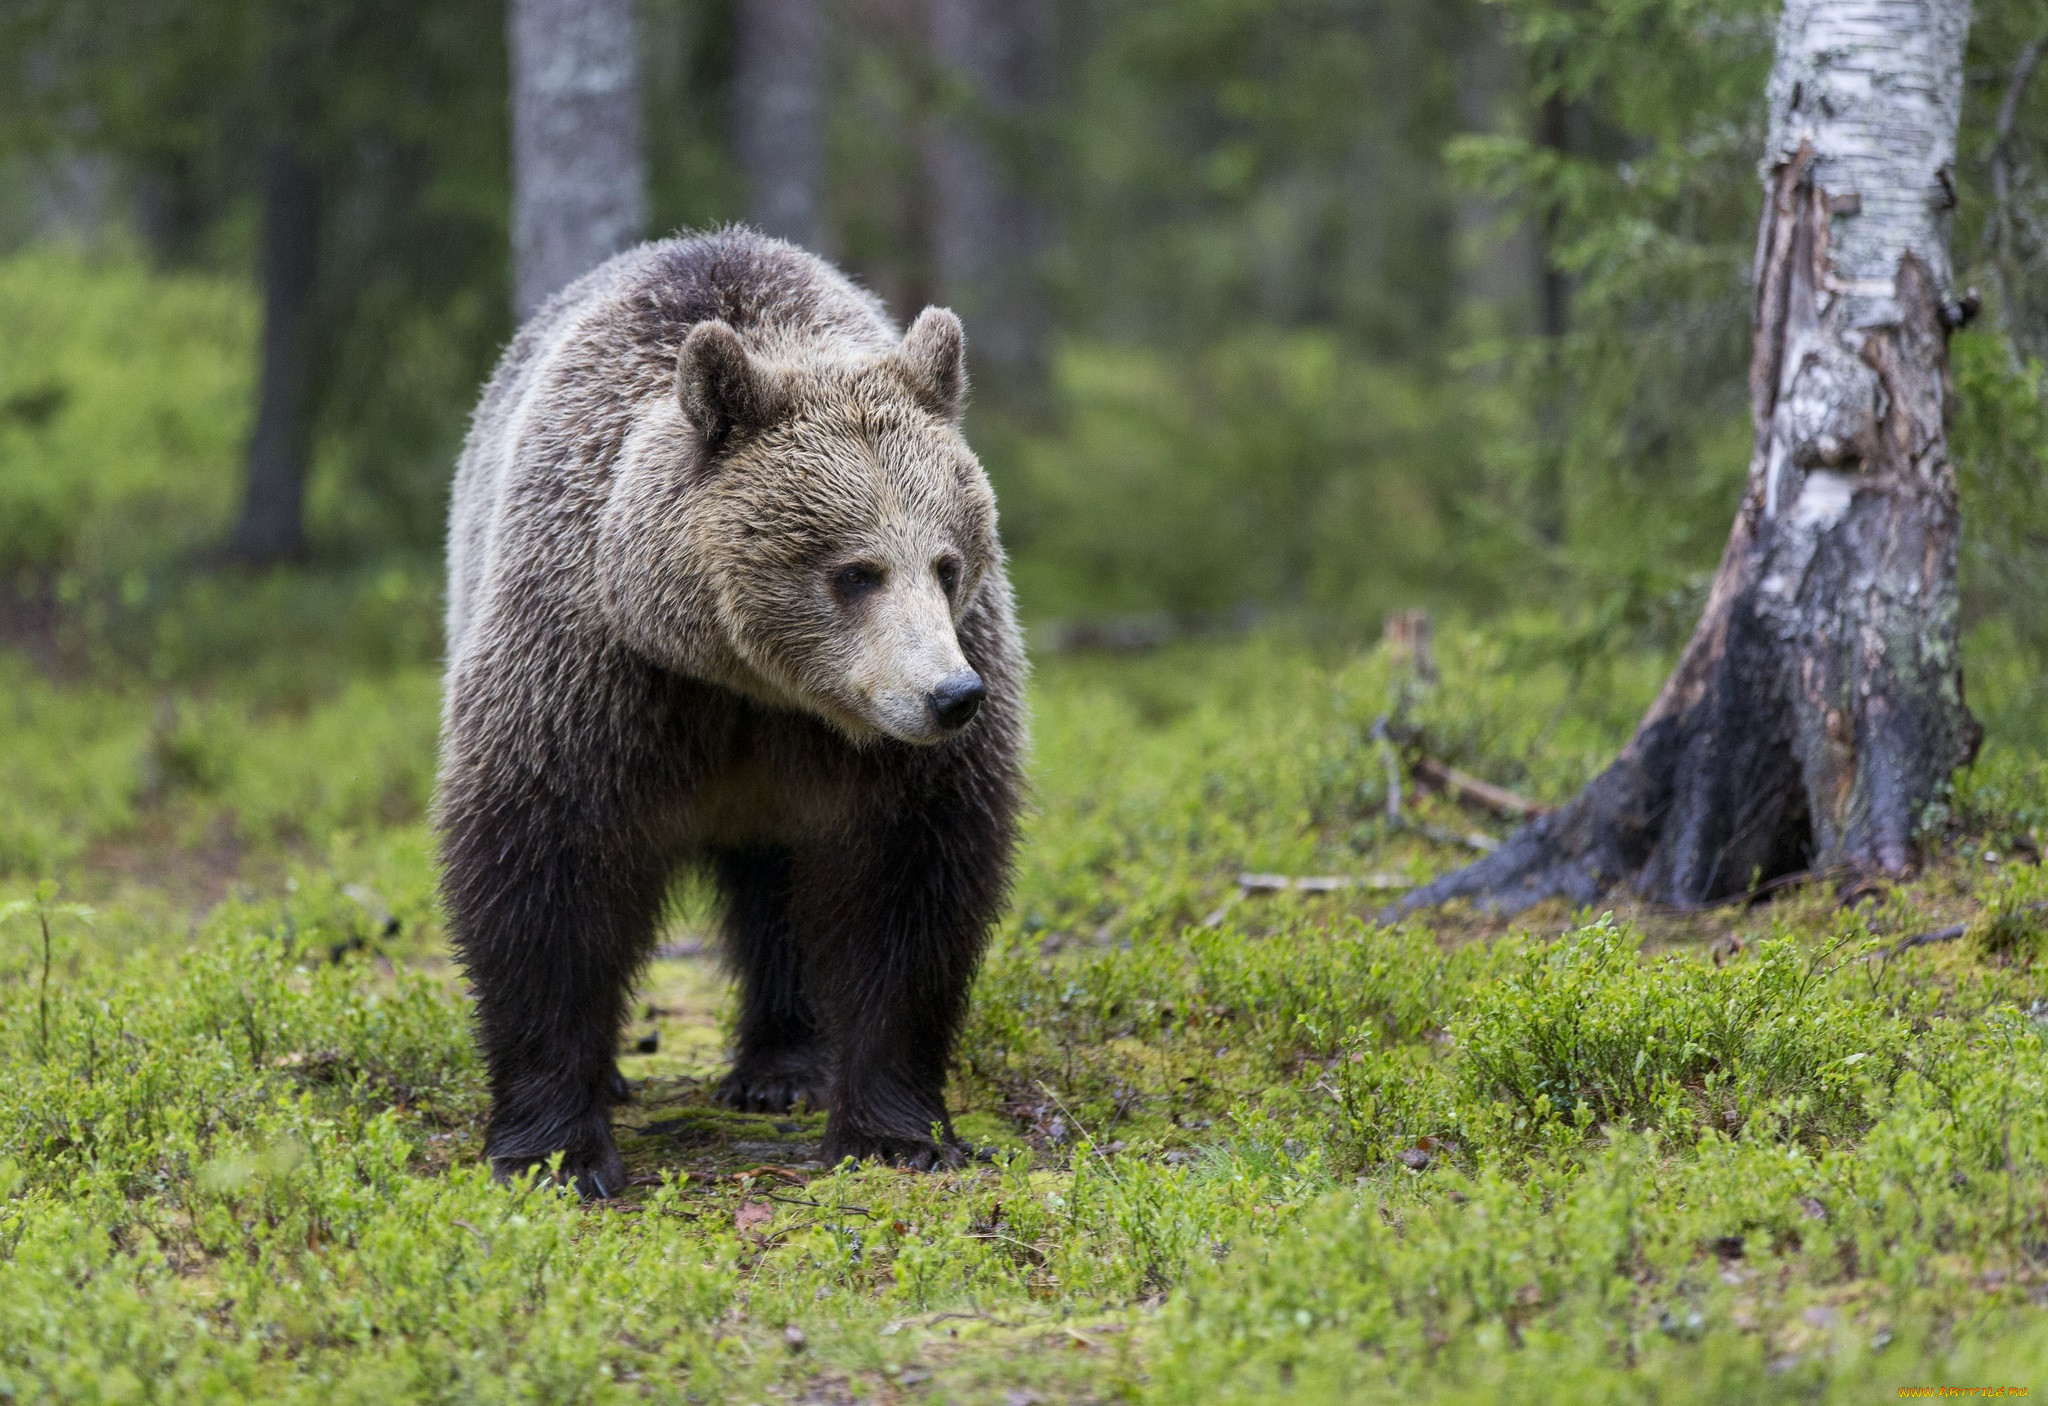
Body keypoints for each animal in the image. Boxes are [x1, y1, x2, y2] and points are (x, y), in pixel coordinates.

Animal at [442, 231, 1032, 1195]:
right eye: (855, 571)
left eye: (948, 562)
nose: (952, 697)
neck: (750, 681)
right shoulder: (596, 672)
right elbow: (546, 872)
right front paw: (556, 1150)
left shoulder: (887, 748)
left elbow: (910, 885)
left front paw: (893, 1131)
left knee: (778, 892)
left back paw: (784, 1067)